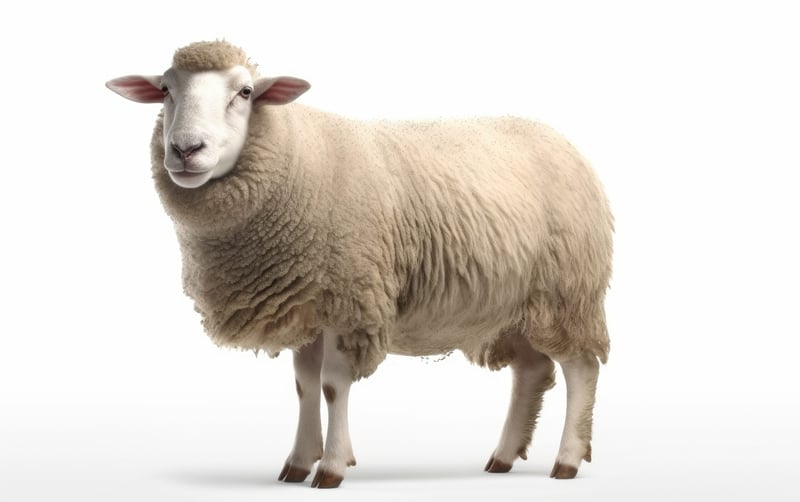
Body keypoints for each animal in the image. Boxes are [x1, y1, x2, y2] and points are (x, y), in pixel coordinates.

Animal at [106, 40, 613, 489]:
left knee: (581, 368)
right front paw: (297, 463)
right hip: (514, 305)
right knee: (533, 371)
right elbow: (304, 386)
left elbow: (332, 386)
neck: (297, 160)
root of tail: (562, 141)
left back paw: (567, 460)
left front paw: (330, 467)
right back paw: (503, 456)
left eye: (245, 91)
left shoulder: (350, 299)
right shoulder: (307, 303)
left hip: (567, 292)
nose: (185, 149)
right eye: (166, 89)